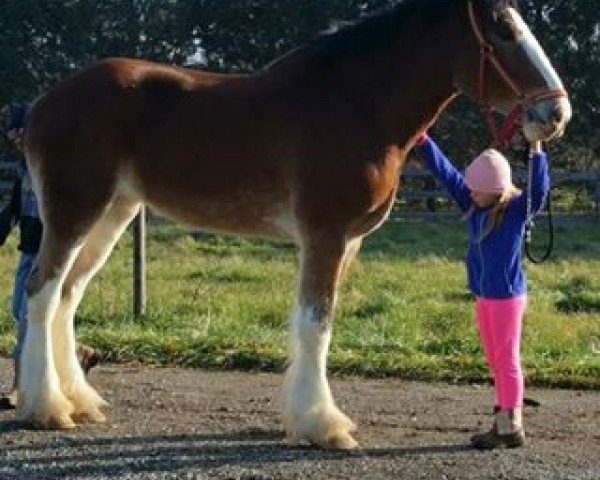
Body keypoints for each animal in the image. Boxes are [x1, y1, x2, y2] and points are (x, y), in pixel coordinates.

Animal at [19, 0, 572, 450]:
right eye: (503, 30)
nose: (556, 113)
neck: (356, 106)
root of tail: (42, 104)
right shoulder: (324, 235)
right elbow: (315, 324)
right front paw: (322, 425)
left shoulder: (348, 242)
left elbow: (320, 324)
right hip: (75, 211)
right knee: (42, 293)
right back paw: (48, 408)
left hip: (113, 213)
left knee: (67, 296)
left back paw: (79, 401)